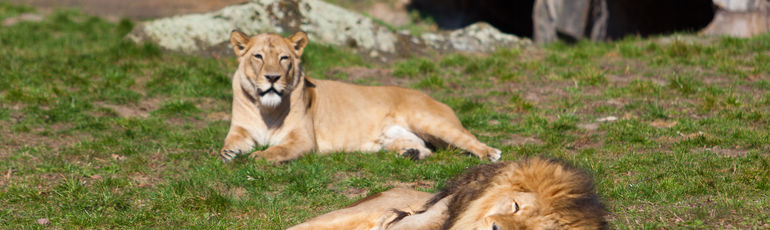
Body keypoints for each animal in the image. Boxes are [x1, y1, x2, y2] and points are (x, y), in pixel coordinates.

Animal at [219, 30, 500, 162]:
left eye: (284, 58)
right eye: (258, 56)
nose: (272, 78)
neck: (266, 109)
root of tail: (431, 97)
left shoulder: (303, 140)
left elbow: (278, 150)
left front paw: (257, 157)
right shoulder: (240, 130)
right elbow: (228, 145)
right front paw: (228, 156)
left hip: (430, 121)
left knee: (468, 138)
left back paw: (490, 153)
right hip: (393, 138)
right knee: (425, 148)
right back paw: (410, 153)